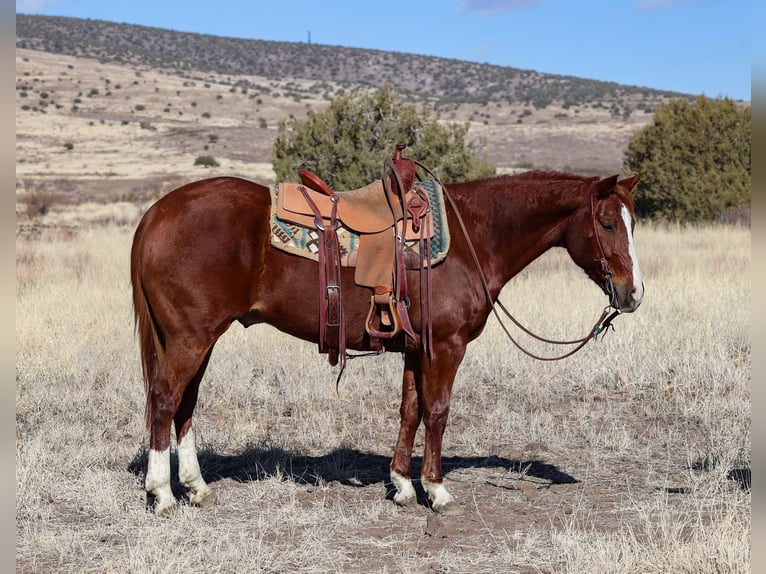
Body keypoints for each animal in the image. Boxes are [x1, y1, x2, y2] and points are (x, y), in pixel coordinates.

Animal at [129, 169, 644, 516]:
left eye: (633, 222)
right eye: (607, 224)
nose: (633, 293)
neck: (472, 237)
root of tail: (157, 212)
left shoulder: (416, 350)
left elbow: (410, 411)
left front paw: (402, 485)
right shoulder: (446, 348)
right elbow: (437, 413)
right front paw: (436, 490)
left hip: (196, 340)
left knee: (184, 404)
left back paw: (196, 487)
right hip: (190, 339)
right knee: (164, 400)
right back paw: (163, 494)